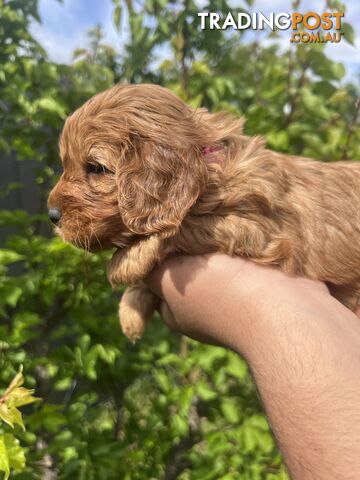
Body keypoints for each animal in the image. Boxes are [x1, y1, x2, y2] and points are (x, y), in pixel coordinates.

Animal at [48, 84, 360, 344]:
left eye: (96, 168)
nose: (52, 214)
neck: (209, 163)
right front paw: (131, 311)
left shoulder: (260, 229)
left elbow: (186, 225)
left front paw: (126, 262)